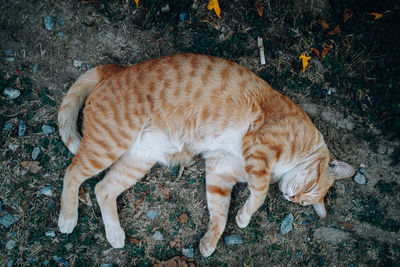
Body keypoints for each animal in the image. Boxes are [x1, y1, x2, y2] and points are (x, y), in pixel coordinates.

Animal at [56, 54, 354, 258]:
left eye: (304, 202)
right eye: (311, 187)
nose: (292, 198)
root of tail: (116, 68)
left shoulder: (220, 171)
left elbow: (219, 214)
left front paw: (210, 243)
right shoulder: (259, 150)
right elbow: (258, 195)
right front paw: (245, 217)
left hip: (139, 159)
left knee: (103, 188)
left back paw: (115, 234)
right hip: (109, 143)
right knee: (73, 172)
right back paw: (68, 218)